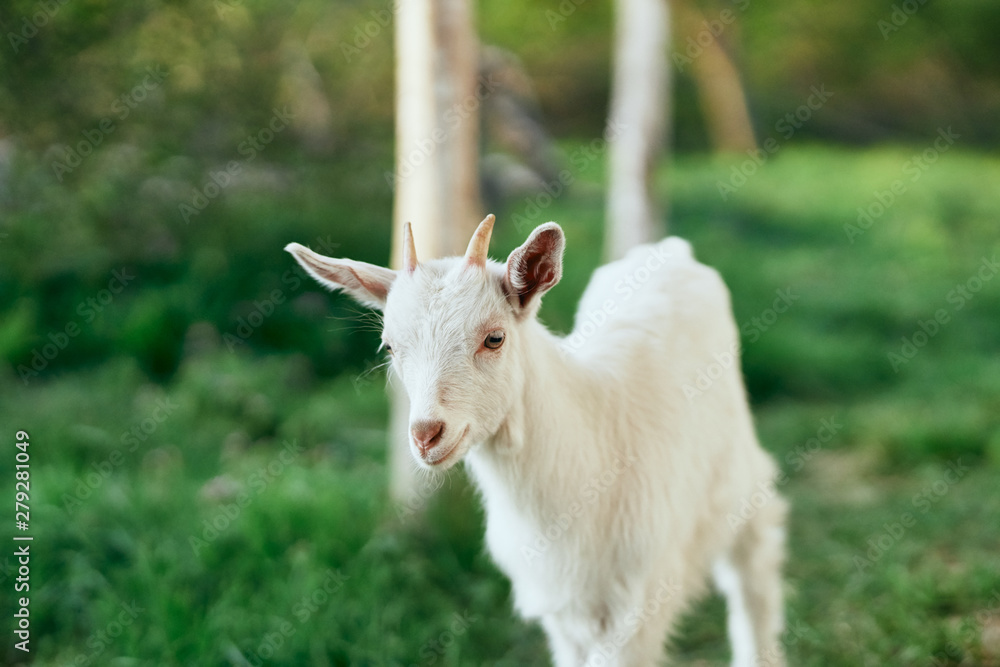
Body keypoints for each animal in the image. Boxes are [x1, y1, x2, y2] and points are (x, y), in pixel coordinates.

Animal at [288, 217, 788, 664]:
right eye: (389, 347)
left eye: (494, 338)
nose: (427, 434)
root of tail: (671, 250)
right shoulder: (560, 609)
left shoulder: (638, 607)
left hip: (741, 482)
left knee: (754, 576)